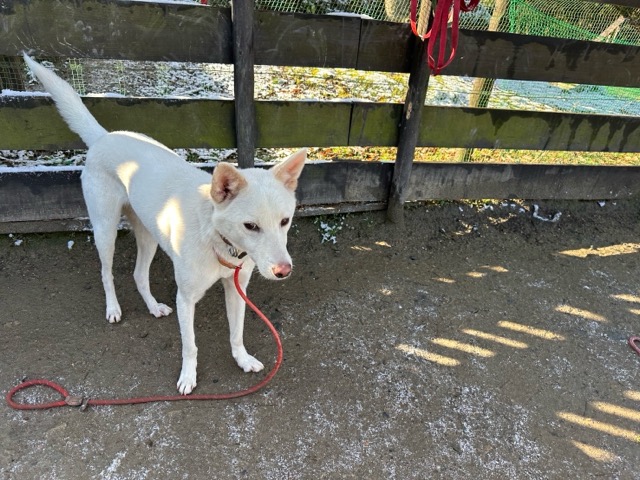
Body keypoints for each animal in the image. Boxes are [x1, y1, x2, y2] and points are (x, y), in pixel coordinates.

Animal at [23, 54, 305, 395]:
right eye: (251, 226)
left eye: (284, 221)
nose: (283, 271)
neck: (217, 240)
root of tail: (105, 137)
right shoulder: (185, 300)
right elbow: (191, 345)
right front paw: (188, 377)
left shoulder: (236, 288)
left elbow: (236, 333)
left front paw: (243, 359)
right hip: (105, 229)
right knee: (106, 272)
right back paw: (113, 309)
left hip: (148, 234)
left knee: (138, 274)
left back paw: (153, 306)